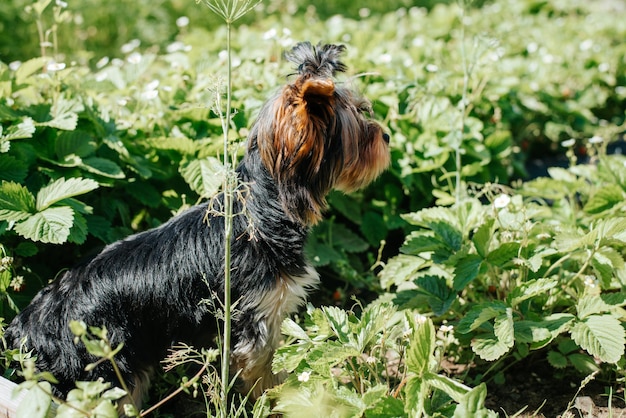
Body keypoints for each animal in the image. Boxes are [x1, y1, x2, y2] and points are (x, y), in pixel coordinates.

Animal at [3, 41, 390, 408]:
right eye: (362, 123)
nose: (386, 136)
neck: (261, 210)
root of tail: (26, 329)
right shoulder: (258, 321)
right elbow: (266, 375)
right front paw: (283, 400)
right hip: (104, 371)